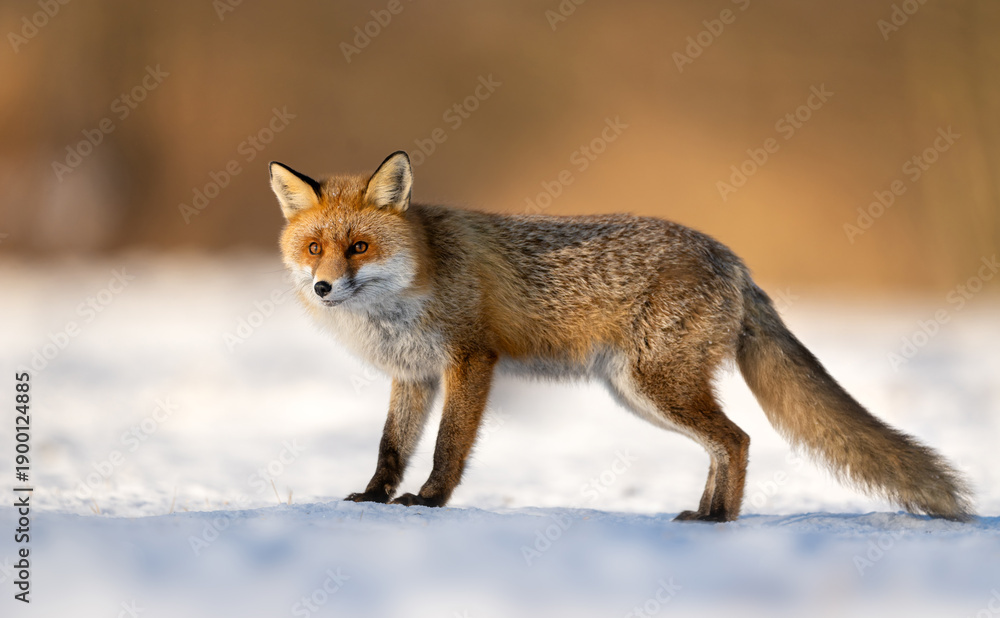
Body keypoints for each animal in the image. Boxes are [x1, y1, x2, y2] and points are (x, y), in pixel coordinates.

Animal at [268, 150, 973, 522]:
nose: (323, 288)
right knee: (726, 443)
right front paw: (374, 498)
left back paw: (722, 522)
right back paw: (704, 515)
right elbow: (391, 447)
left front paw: (431, 500)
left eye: (360, 247)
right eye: (314, 248)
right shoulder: (412, 373)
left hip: (655, 384)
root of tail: (732, 257)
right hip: (639, 393)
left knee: (737, 439)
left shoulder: (470, 359)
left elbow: (447, 447)